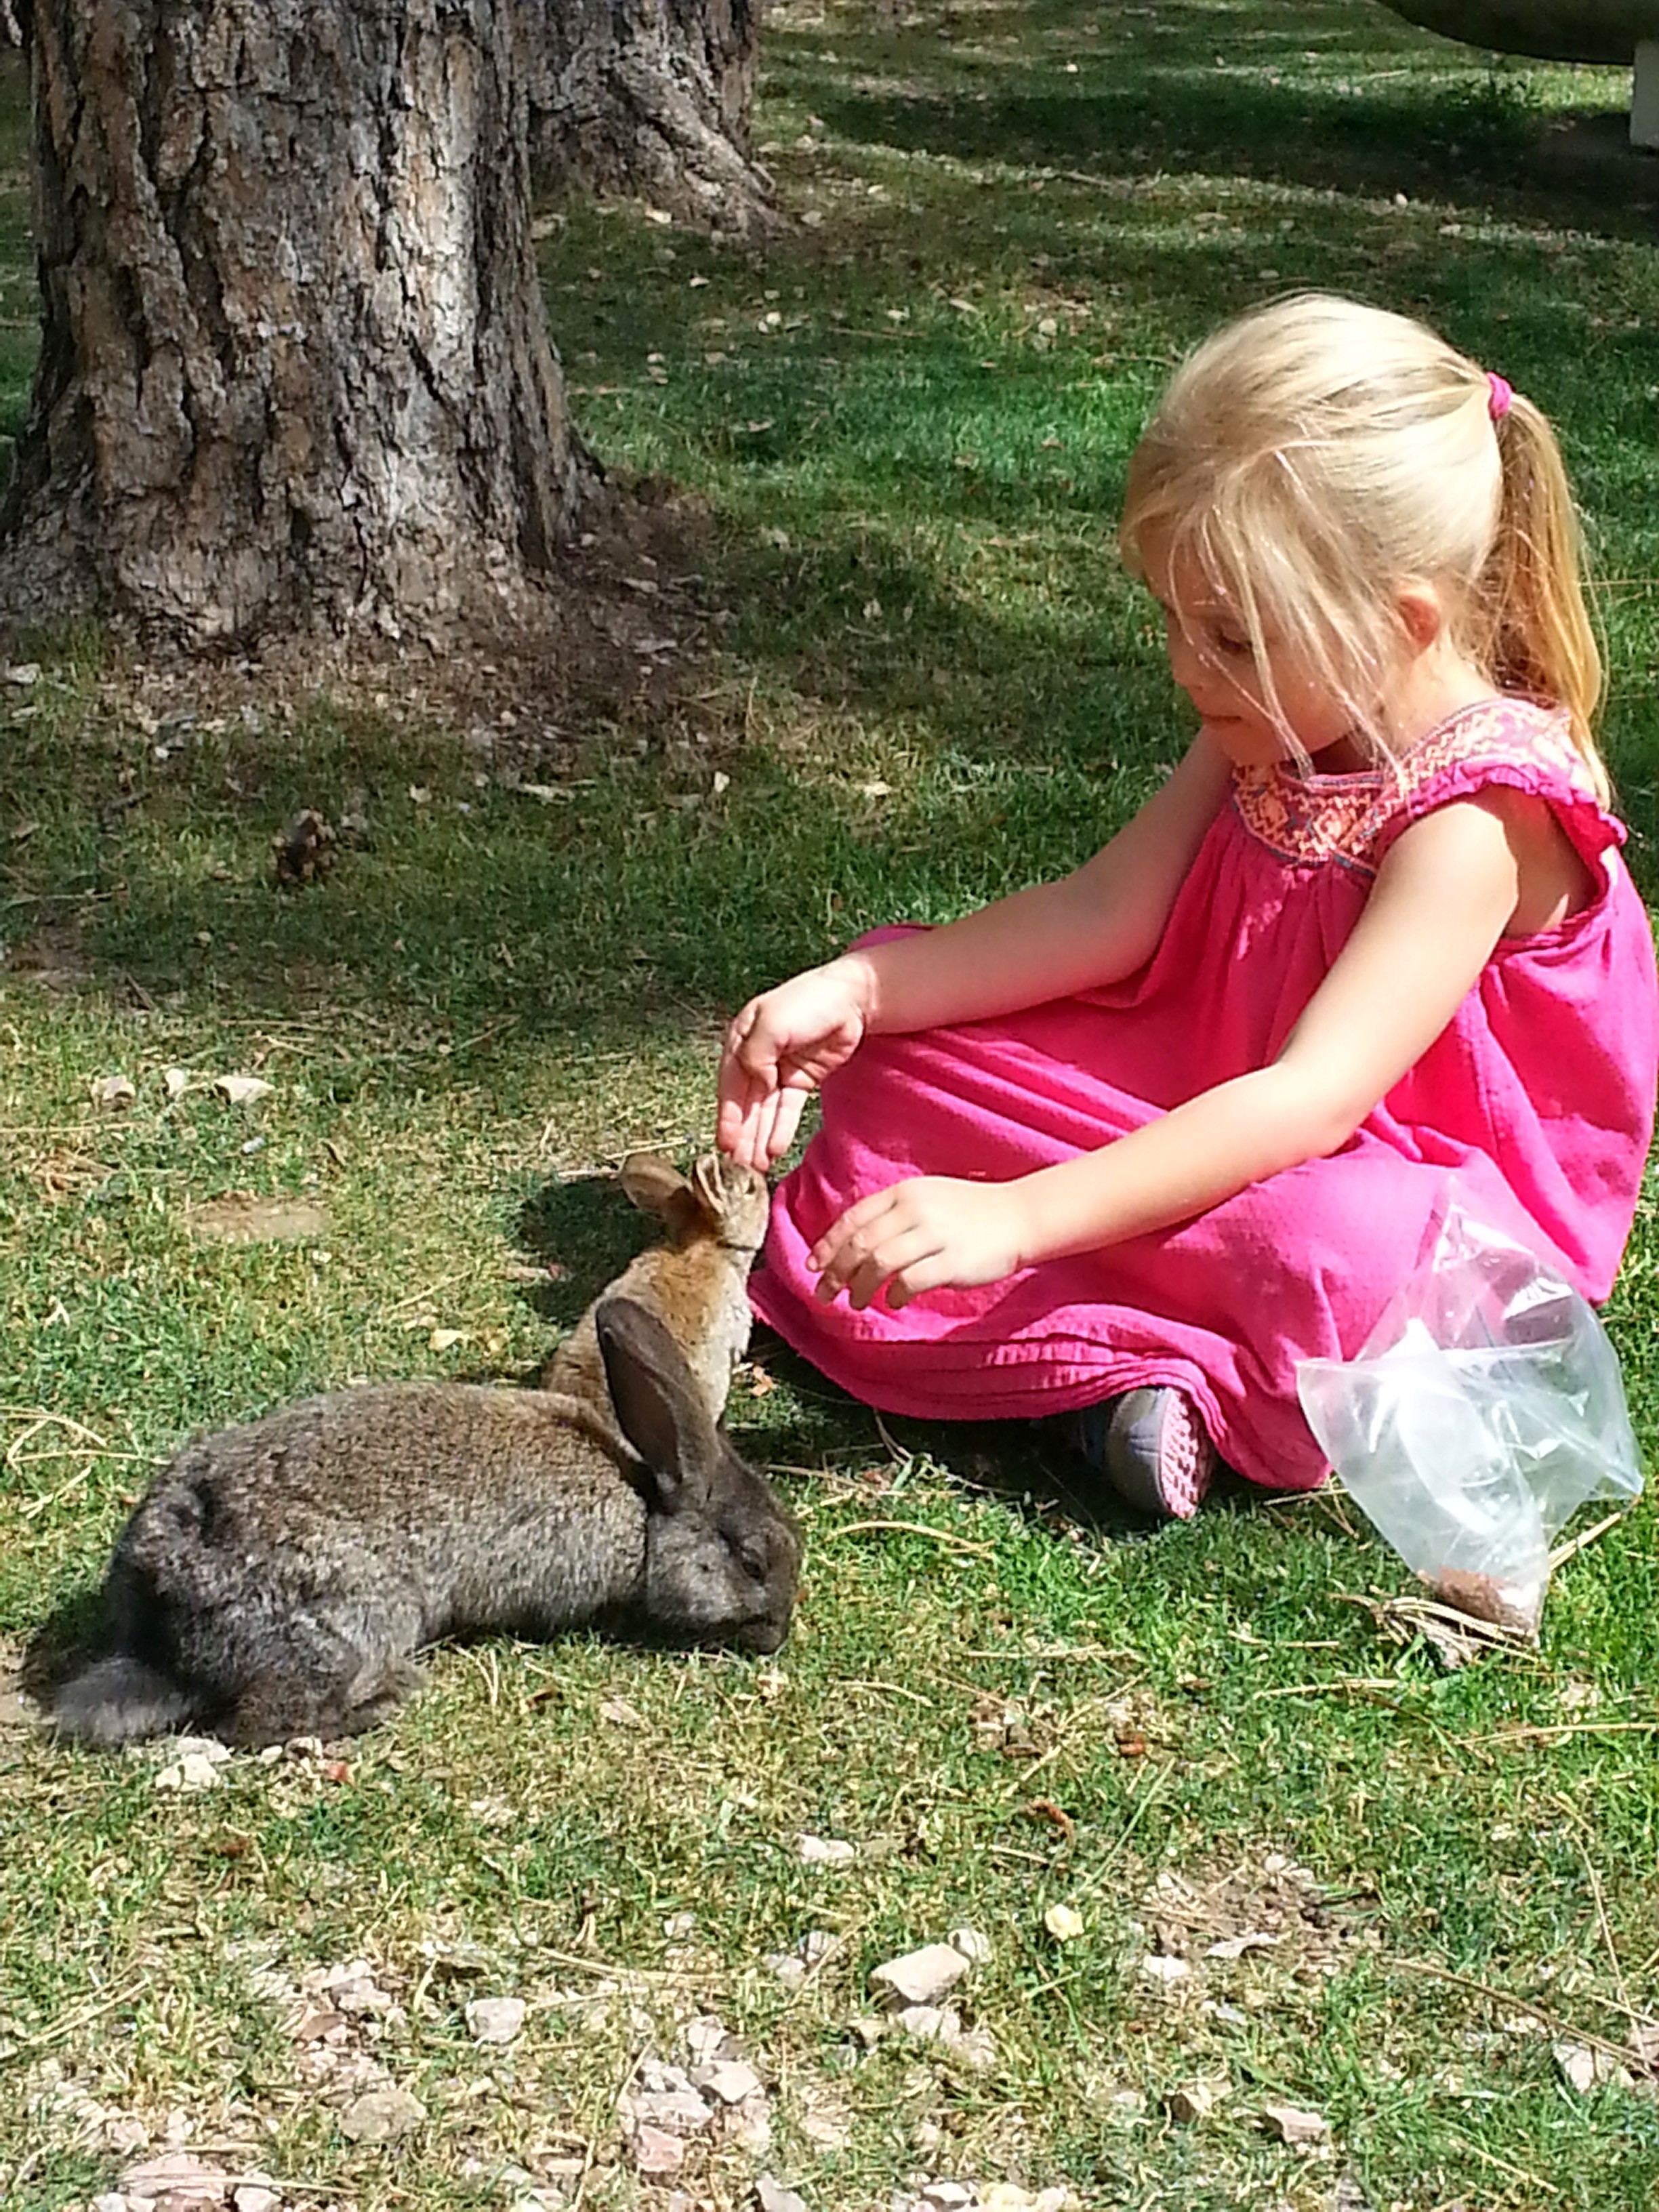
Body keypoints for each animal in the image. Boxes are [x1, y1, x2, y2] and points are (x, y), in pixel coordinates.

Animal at [48, 1292, 800, 1743]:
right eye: (752, 1562)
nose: (777, 1635)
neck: (646, 1509)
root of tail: (164, 1632)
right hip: (357, 1622)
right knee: (261, 1722)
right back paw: (388, 1698)